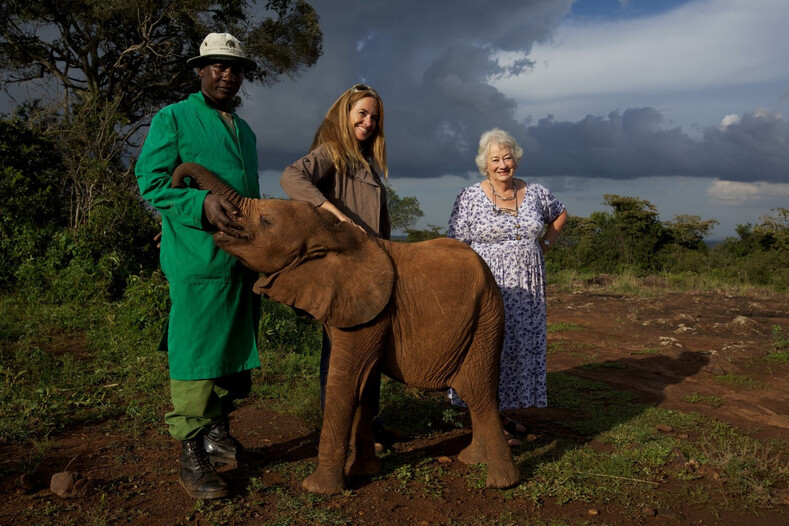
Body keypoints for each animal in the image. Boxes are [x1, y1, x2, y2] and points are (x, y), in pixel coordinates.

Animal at [172, 164, 516, 496]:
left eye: (267, 221)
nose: (177, 183)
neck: (335, 235)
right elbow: (363, 384)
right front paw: (364, 472)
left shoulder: (371, 310)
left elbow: (346, 381)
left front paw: (318, 488)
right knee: (474, 393)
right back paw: (473, 460)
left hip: (486, 317)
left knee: (478, 390)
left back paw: (500, 481)